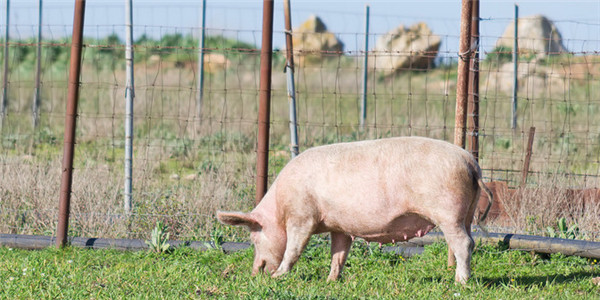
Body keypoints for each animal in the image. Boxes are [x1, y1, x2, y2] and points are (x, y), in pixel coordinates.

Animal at [216, 137, 492, 282]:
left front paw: (279, 276)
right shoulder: (339, 227)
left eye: (254, 238)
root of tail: (471, 163)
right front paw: (331, 281)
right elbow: (338, 254)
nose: (256, 272)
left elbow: (294, 249)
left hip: (448, 212)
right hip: (466, 213)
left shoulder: (302, 216)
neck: (280, 207)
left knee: (463, 244)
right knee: (469, 241)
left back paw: (460, 282)